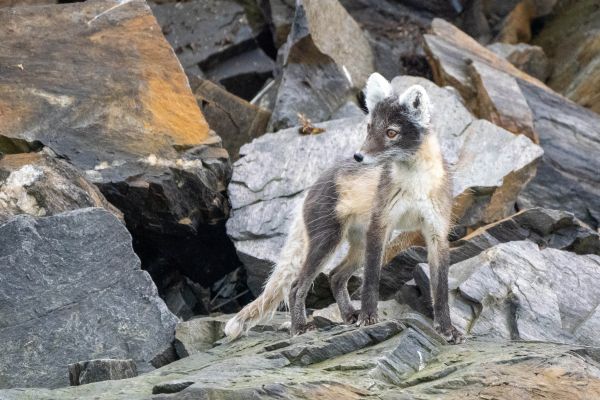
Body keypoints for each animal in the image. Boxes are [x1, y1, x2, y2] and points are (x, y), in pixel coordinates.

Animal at [225, 72, 464, 344]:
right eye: (369, 128)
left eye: (391, 132)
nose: (358, 156)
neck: (416, 186)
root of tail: (311, 189)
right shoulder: (380, 226)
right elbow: (371, 280)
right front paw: (368, 317)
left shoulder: (437, 234)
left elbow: (441, 290)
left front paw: (447, 329)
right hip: (329, 241)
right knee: (296, 285)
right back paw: (300, 327)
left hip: (360, 245)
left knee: (335, 276)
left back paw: (348, 315)